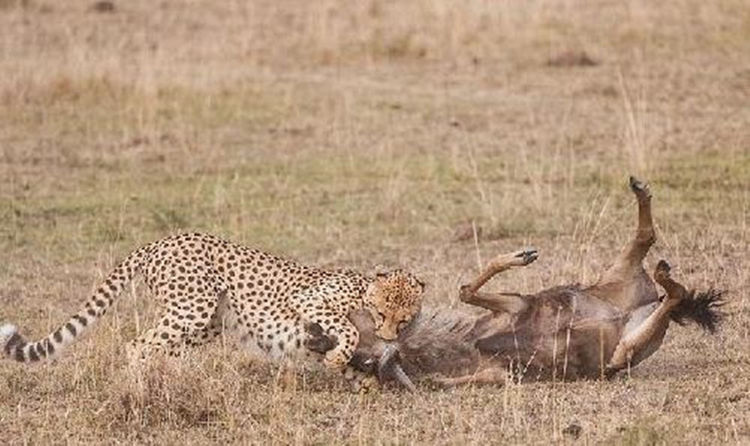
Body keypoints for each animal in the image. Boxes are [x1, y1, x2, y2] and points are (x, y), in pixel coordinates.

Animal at [0, 232, 424, 374]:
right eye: (382, 312)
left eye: (404, 320)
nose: (389, 337)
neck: (363, 288)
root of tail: (162, 240)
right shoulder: (308, 300)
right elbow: (347, 329)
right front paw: (338, 357)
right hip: (195, 306)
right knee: (137, 345)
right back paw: (142, 387)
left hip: (207, 322)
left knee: (162, 349)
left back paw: (169, 382)